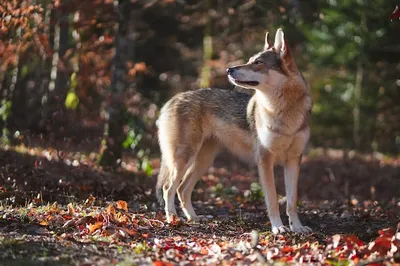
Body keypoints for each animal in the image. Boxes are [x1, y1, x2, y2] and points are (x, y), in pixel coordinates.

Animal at [156, 28, 312, 234]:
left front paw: (298, 227)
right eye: (250, 60)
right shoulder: (265, 160)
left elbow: (292, 201)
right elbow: (272, 199)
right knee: (168, 188)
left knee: (182, 189)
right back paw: (172, 219)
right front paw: (278, 227)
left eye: (257, 63)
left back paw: (194, 218)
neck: (284, 111)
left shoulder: (294, 160)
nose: (229, 69)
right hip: (184, 159)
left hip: (203, 161)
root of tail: (173, 99)